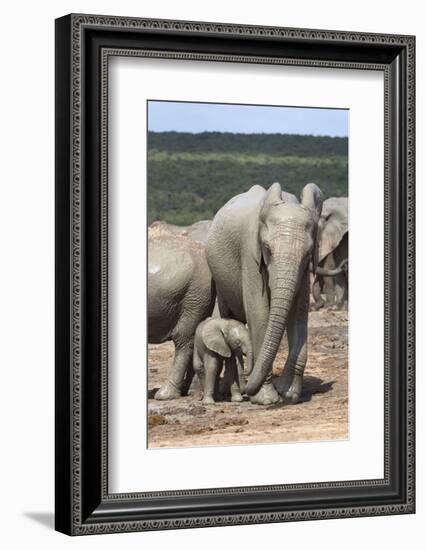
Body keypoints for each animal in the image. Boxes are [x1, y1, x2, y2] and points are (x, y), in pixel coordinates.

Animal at [206, 183, 322, 408]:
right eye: (267, 249)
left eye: (308, 253)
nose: (248, 386)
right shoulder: (250, 253)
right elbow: (259, 314)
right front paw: (266, 399)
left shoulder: (304, 270)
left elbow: (299, 315)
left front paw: (289, 394)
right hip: (219, 277)